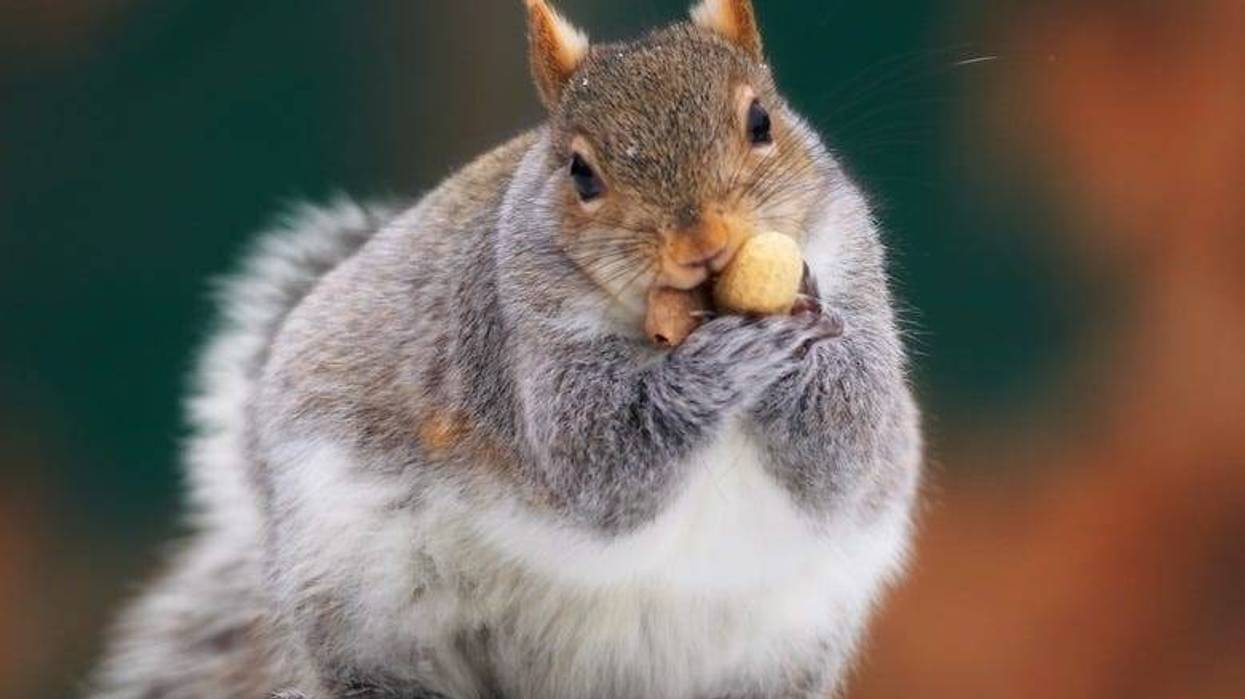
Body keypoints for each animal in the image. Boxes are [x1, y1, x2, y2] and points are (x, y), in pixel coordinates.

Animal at [87, 1, 922, 697]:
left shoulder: (858, 281)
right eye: (580, 172)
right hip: (358, 597)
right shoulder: (510, 337)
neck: (673, 318)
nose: (702, 243)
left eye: (760, 122)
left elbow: (846, 445)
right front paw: (718, 364)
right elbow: (594, 461)